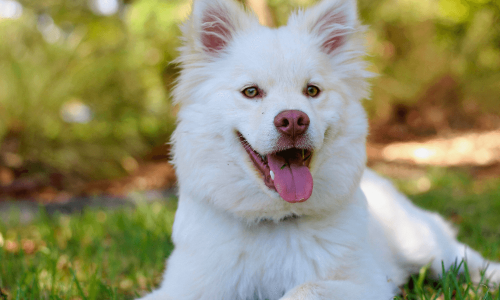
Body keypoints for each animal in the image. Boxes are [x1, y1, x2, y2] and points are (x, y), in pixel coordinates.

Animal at [140, 0, 500, 298]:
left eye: (312, 90)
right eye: (251, 92)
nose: (293, 120)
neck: (276, 221)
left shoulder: (366, 283)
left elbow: (303, 289)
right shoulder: (185, 287)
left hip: (424, 245)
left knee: (466, 258)